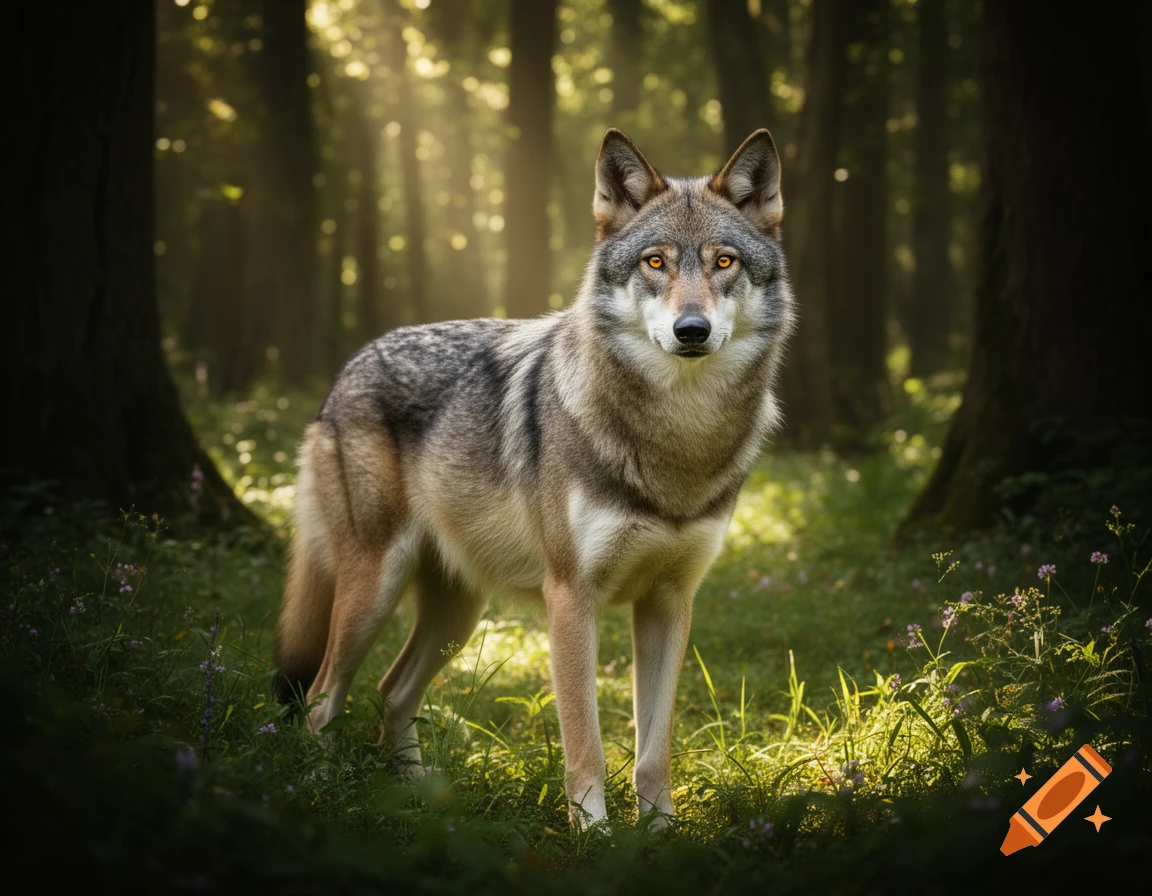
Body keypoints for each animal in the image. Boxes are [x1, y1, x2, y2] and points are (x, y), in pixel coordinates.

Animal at [275, 127, 794, 828]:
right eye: (655, 263)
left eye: (724, 262)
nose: (692, 330)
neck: (677, 439)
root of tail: (346, 369)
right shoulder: (570, 598)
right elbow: (587, 743)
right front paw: (595, 835)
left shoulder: (670, 602)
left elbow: (654, 752)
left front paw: (661, 834)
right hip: (374, 589)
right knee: (323, 697)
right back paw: (318, 794)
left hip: (457, 613)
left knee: (391, 691)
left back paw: (420, 800)